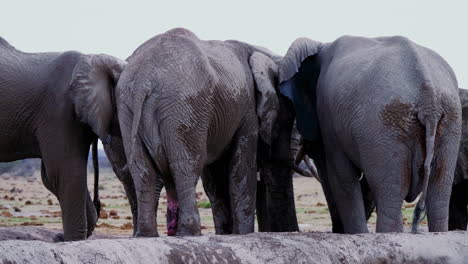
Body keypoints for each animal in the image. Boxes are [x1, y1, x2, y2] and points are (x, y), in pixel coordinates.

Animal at [0, 37, 135, 241]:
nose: (58, 237)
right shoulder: (59, 109)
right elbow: (63, 174)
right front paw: (70, 240)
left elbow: (56, 176)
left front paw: (65, 240)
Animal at [276, 35, 462, 233]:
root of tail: (429, 101)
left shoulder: (328, 117)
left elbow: (341, 178)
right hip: (448, 121)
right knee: (438, 195)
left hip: (385, 123)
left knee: (390, 194)